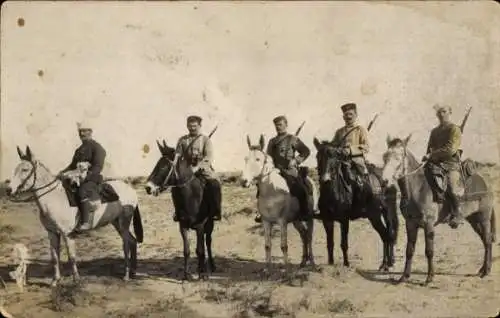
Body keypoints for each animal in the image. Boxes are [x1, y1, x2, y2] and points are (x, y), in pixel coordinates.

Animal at [5, 147, 143, 286]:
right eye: (15, 169)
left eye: (25, 169)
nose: (9, 190)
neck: (54, 198)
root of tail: (131, 189)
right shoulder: (52, 233)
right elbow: (54, 257)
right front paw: (55, 280)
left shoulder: (67, 234)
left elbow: (71, 256)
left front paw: (76, 279)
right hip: (116, 223)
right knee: (133, 241)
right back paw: (133, 271)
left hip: (124, 223)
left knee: (126, 244)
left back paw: (126, 275)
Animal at [240, 135, 318, 276]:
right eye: (246, 159)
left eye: (258, 159)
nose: (244, 181)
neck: (272, 191)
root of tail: (310, 180)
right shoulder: (266, 222)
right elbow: (267, 245)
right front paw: (267, 269)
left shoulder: (282, 222)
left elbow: (284, 246)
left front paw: (287, 271)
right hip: (296, 220)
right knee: (303, 235)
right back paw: (303, 262)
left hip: (309, 218)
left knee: (309, 237)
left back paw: (313, 264)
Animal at [380, 135, 494, 284]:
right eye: (385, 157)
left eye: (398, 158)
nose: (384, 181)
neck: (417, 189)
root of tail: (485, 182)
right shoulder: (410, 224)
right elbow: (409, 250)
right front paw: (404, 276)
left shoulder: (428, 224)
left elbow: (429, 251)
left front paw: (429, 277)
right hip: (474, 220)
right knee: (485, 241)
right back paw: (483, 269)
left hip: (484, 218)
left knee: (488, 240)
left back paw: (486, 271)